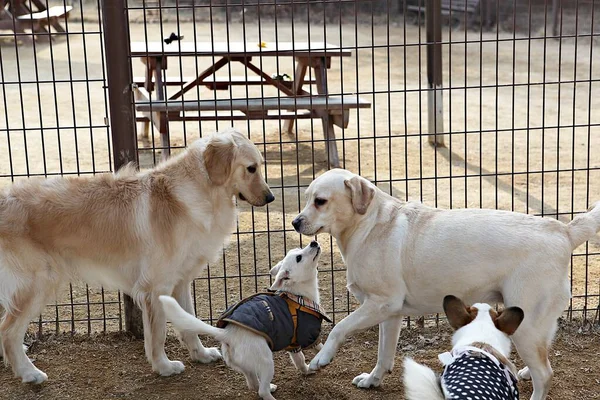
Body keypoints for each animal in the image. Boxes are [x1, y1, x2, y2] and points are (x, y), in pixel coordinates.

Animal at [159, 241, 328, 400]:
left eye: (298, 250)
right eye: (299, 257)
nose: (313, 242)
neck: (297, 295)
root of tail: (228, 335)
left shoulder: (293, 345)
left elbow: (299, 360)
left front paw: (307, 370)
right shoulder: (307, 336)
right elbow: (319, 348)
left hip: (245, 366)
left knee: (253, 384)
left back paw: (270, 387)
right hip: (266, 362)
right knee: (261, 390)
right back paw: (270, 394)